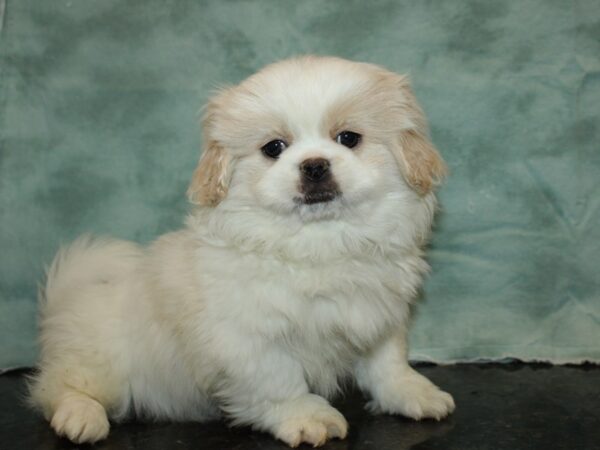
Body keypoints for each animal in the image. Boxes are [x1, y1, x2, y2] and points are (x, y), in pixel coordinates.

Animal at [29, 55, 450, 446]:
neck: (319, 241)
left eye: (348, 138)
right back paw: (81, 417)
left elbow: (387, 364)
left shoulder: (378, 315)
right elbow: (279, 381)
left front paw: (413, 393)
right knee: (60, 386)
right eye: (274, 148)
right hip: (100, 360)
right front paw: (306, 418)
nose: (314, 165)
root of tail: (66, 296)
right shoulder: (250, 339)